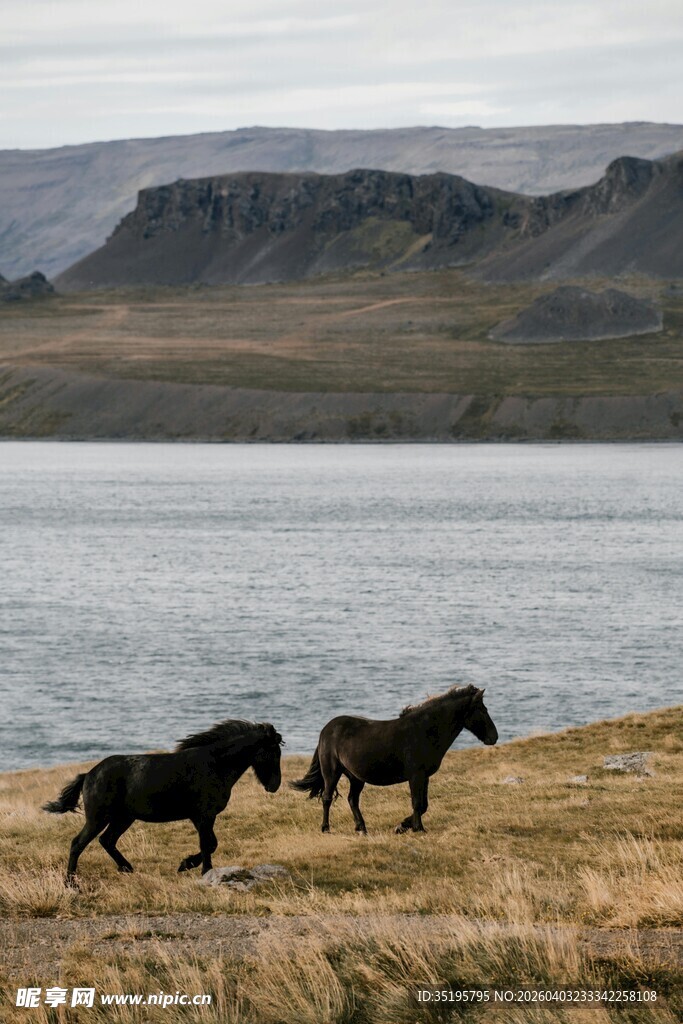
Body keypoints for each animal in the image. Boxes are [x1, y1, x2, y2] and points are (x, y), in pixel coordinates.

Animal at [43, 719, 283, 883]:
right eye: (272, 752)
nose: (274, 785)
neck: (215, 764)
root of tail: (88, 775)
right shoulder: (203, 815)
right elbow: (208, 844)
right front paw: (201, 870)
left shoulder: (202, 817)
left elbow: (211, 843)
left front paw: (186, 864)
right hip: (98, 818)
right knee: (78, 843)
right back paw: (71, 883)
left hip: (123, 818)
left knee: (107, 840)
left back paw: (127, 868)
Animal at [290, 685, 497, 834]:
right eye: (482, 709)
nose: (494, 737)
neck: (425, 731)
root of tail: (325, 731)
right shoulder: (416, 776)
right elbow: (417, 803)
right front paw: (417, 829)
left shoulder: (424, 777)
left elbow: (424, 805)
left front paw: (403, 826)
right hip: (332, 772)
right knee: (327, 798)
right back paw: (326, 828)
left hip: (356, 777)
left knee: (352, 800)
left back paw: (361, 828)